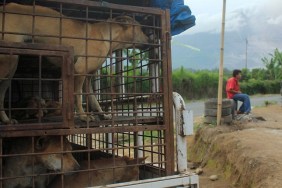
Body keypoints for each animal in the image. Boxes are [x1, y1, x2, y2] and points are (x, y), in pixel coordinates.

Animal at [0, 2, 150, 125]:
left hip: (11, 68)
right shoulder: (79, 71)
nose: (150, 41)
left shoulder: (88, 77)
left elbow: (93, 99)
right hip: (9, 61)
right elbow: (78, 96)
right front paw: (83, 116)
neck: (107, 36)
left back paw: (6, 120)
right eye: (141, 29)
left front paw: (103, 115)